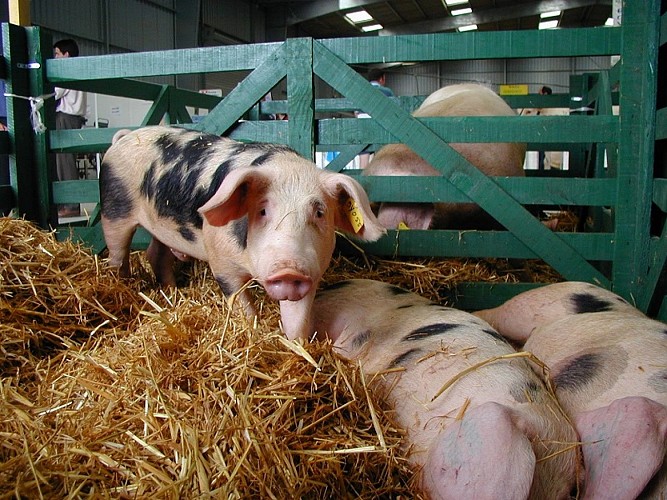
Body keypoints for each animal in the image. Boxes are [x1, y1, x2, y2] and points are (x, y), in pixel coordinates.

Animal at [99, 126, 385, 340]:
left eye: (319, 212)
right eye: (262, 211)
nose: (288, 269)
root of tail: (123, 137)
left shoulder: (312, 273)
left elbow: (298, 319)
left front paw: (298, 346)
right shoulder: (221, 264)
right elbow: (241, 303)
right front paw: (253, 331)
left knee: (156, 255)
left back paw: (173, 293)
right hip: (114, 210)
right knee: (117, 253)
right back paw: (122, 282)